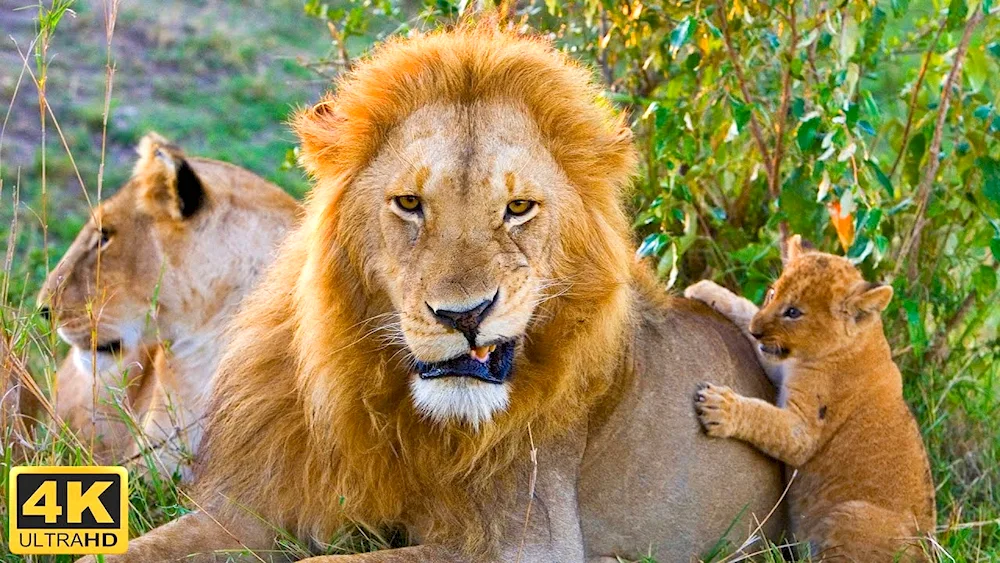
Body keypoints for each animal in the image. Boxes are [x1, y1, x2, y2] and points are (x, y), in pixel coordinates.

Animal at [105, 24, 784, 560]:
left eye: (518, 208)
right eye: (410, 203)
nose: (465, 316)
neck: (395, 413)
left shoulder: (526, 545)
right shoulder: (251, 511)